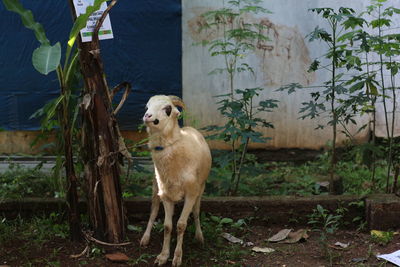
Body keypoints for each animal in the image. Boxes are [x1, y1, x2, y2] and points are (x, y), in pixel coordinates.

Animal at [140, 95, 211, 266]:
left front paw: (177, 257)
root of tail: (190, 128)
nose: (147, 116)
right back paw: (145, 237)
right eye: (147, 106)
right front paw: (163, 256)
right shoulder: (166, 194)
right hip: (155, 186)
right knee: (153, 212)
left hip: (201, 188)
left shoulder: (191, 193)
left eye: (168, 109)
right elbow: (167, 226)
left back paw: (199, 237)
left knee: (196, 212)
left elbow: (180, 225)